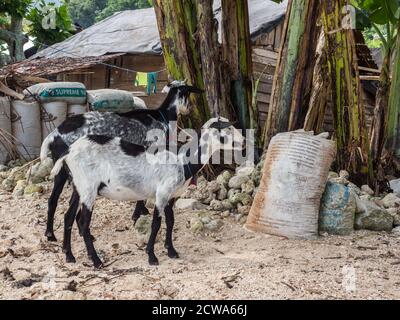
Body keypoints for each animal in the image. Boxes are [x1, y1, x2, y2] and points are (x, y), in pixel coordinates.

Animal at [50, 116, 244, 266]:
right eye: (227, 130)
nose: (243, 143)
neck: (182, 160)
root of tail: (69, 152)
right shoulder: (161, 193)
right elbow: (156, 224)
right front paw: (152, 257)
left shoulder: (171, 196)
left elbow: (171, 222)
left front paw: (171, 251)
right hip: (88, 188)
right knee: (83, 222)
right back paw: (96, 261)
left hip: (78, 186)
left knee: (68, 216)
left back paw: (69, 255)